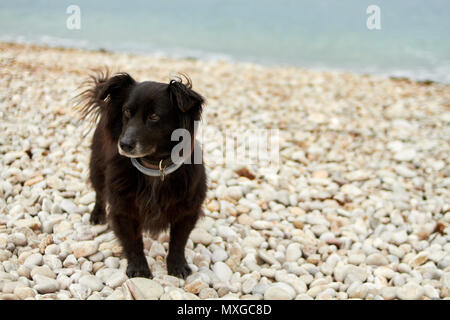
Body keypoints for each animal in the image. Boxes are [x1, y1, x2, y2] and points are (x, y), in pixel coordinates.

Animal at [78, 71, 207, 278]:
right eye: (126, 112)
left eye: (154, 116)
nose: (124, 144)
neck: (155, 166)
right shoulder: (123, 208)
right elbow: (132, 241)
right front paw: (139, 268)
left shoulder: (188, 209)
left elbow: (179, 241)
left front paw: (177, 265)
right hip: (96, 166)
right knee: (99, 191)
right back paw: (97, 215)